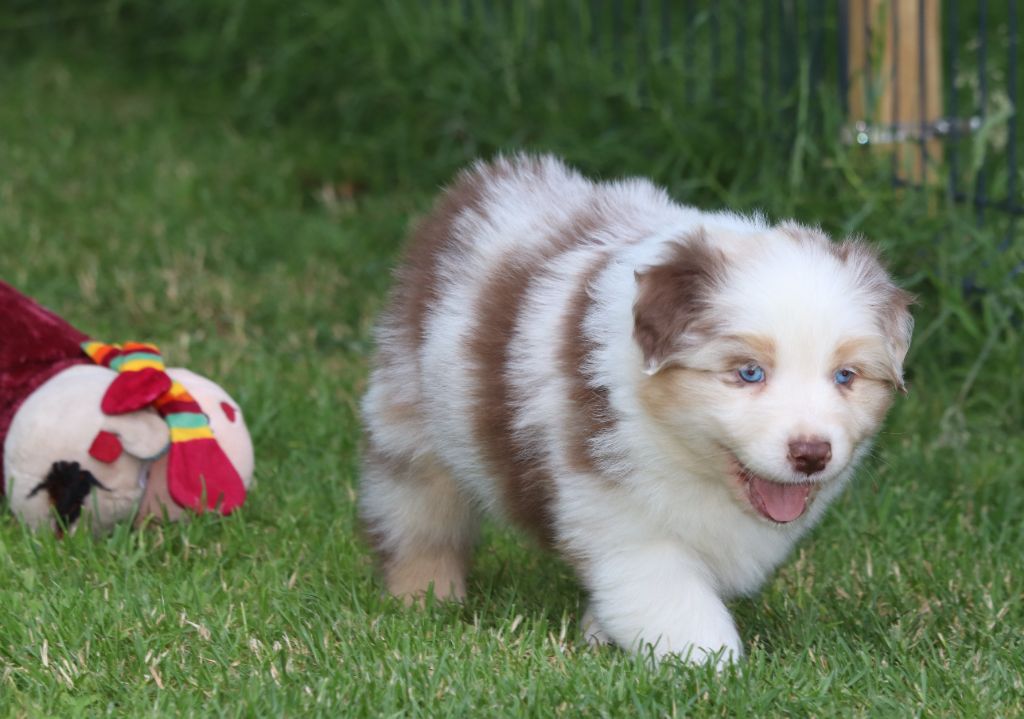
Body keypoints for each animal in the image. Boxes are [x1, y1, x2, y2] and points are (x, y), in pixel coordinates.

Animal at [360, 155, 913, 665]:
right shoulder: (619, 518)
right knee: (416, 515)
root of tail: (482, 180)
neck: (682, 450)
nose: (812, 454)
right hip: (411, 418)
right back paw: (426, 600)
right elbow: (674, 602)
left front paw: (598, 635)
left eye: (845, 376)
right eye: (749, 372)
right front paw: (714, 671)